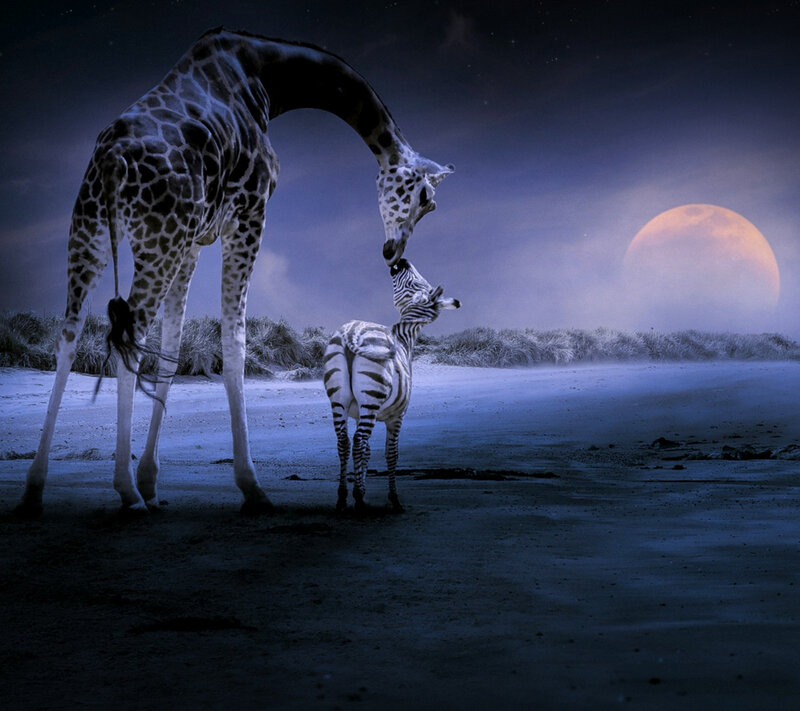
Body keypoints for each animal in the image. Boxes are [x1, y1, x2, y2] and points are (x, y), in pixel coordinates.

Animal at [323, 259, 460, 512]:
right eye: (418, 283)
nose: (401, 261)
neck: (404, 339)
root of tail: (350, 333)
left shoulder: (358, 413)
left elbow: (367, 452)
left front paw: (362, 487)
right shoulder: (397, 416)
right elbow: (391, 453)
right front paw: (394, 499)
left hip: (338, 399)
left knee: (344, 442)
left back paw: (342, 498)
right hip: (371, 396)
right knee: (358, 441)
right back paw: (358, 499)